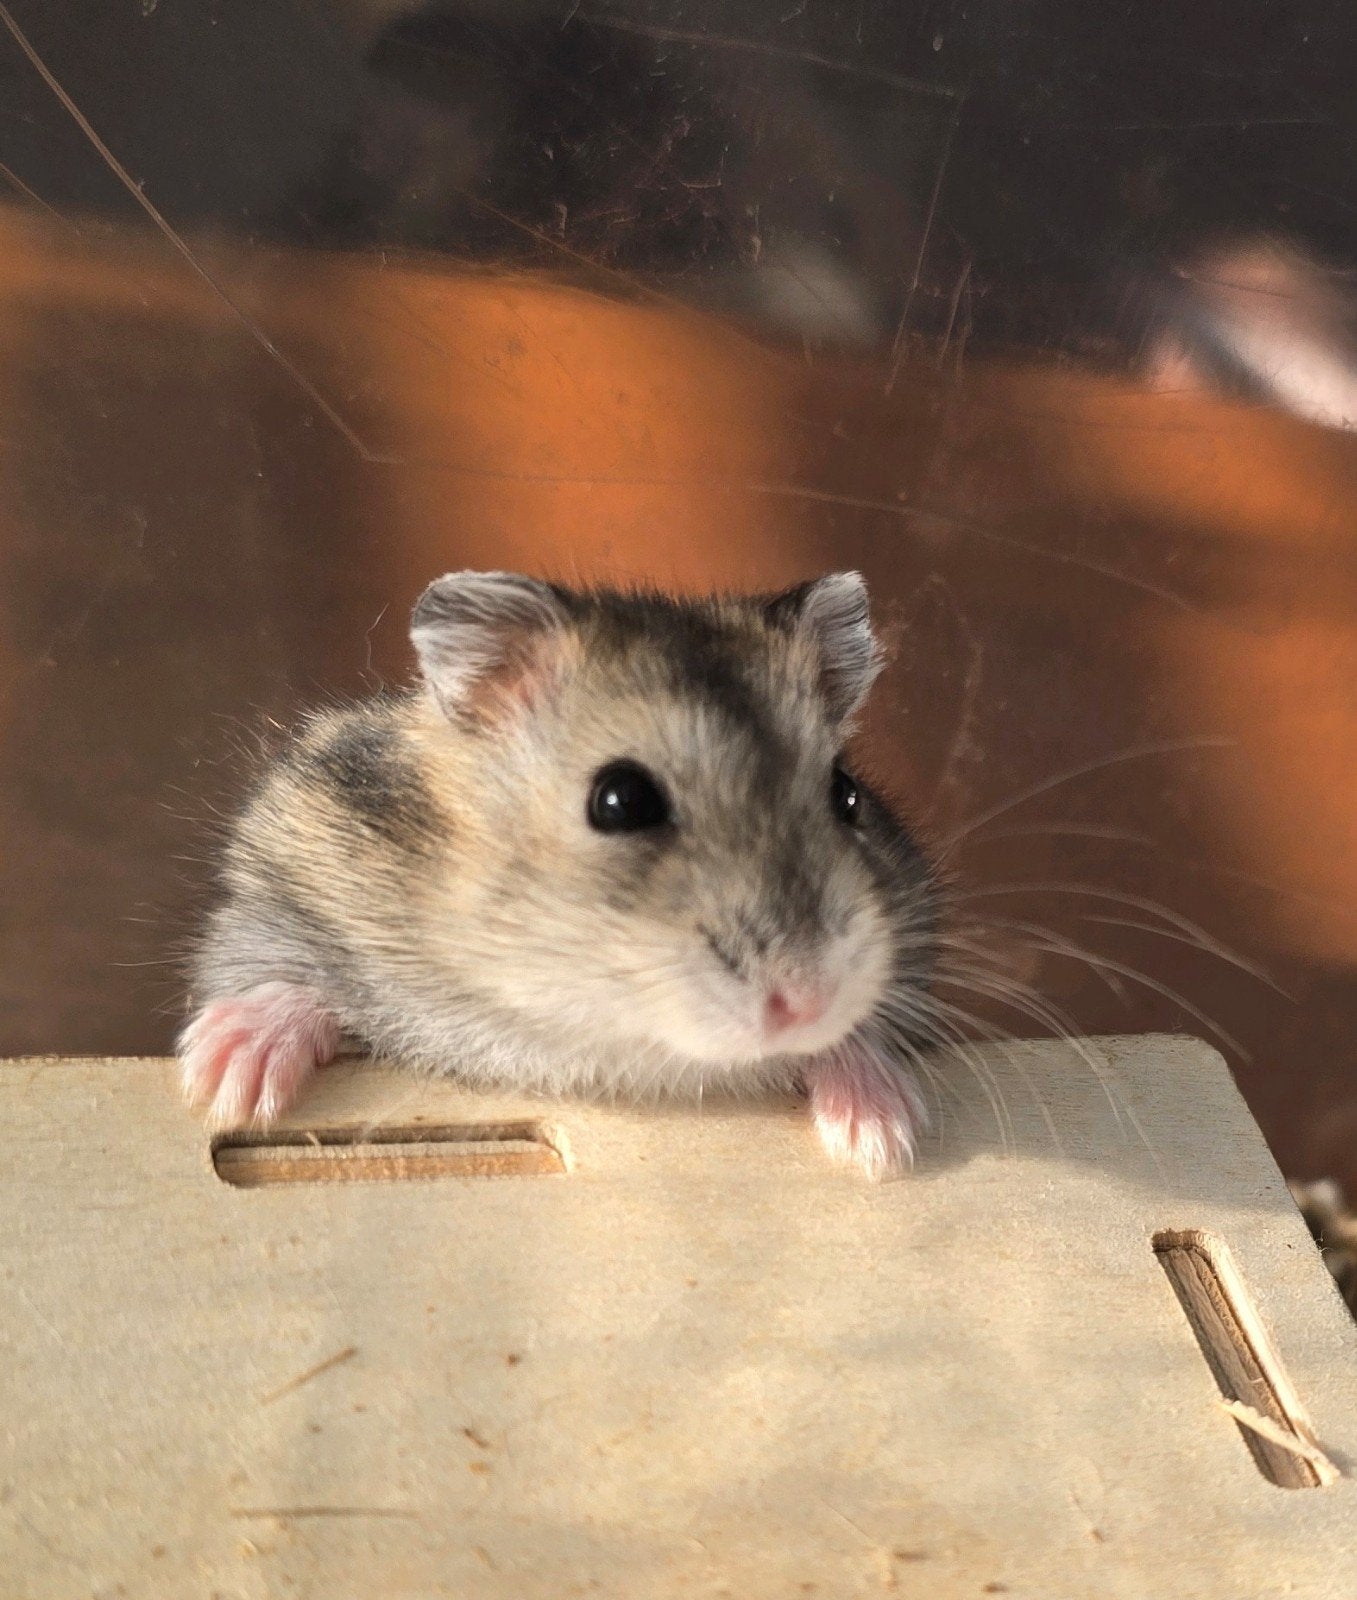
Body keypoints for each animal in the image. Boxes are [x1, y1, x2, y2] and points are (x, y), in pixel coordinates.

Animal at [178, 571, 939, 1179]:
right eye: (620, 800)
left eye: (846, 793)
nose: (811, 1000)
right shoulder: (281, 879)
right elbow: (268, 973)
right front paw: (225, 1084)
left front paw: (882, 1138)